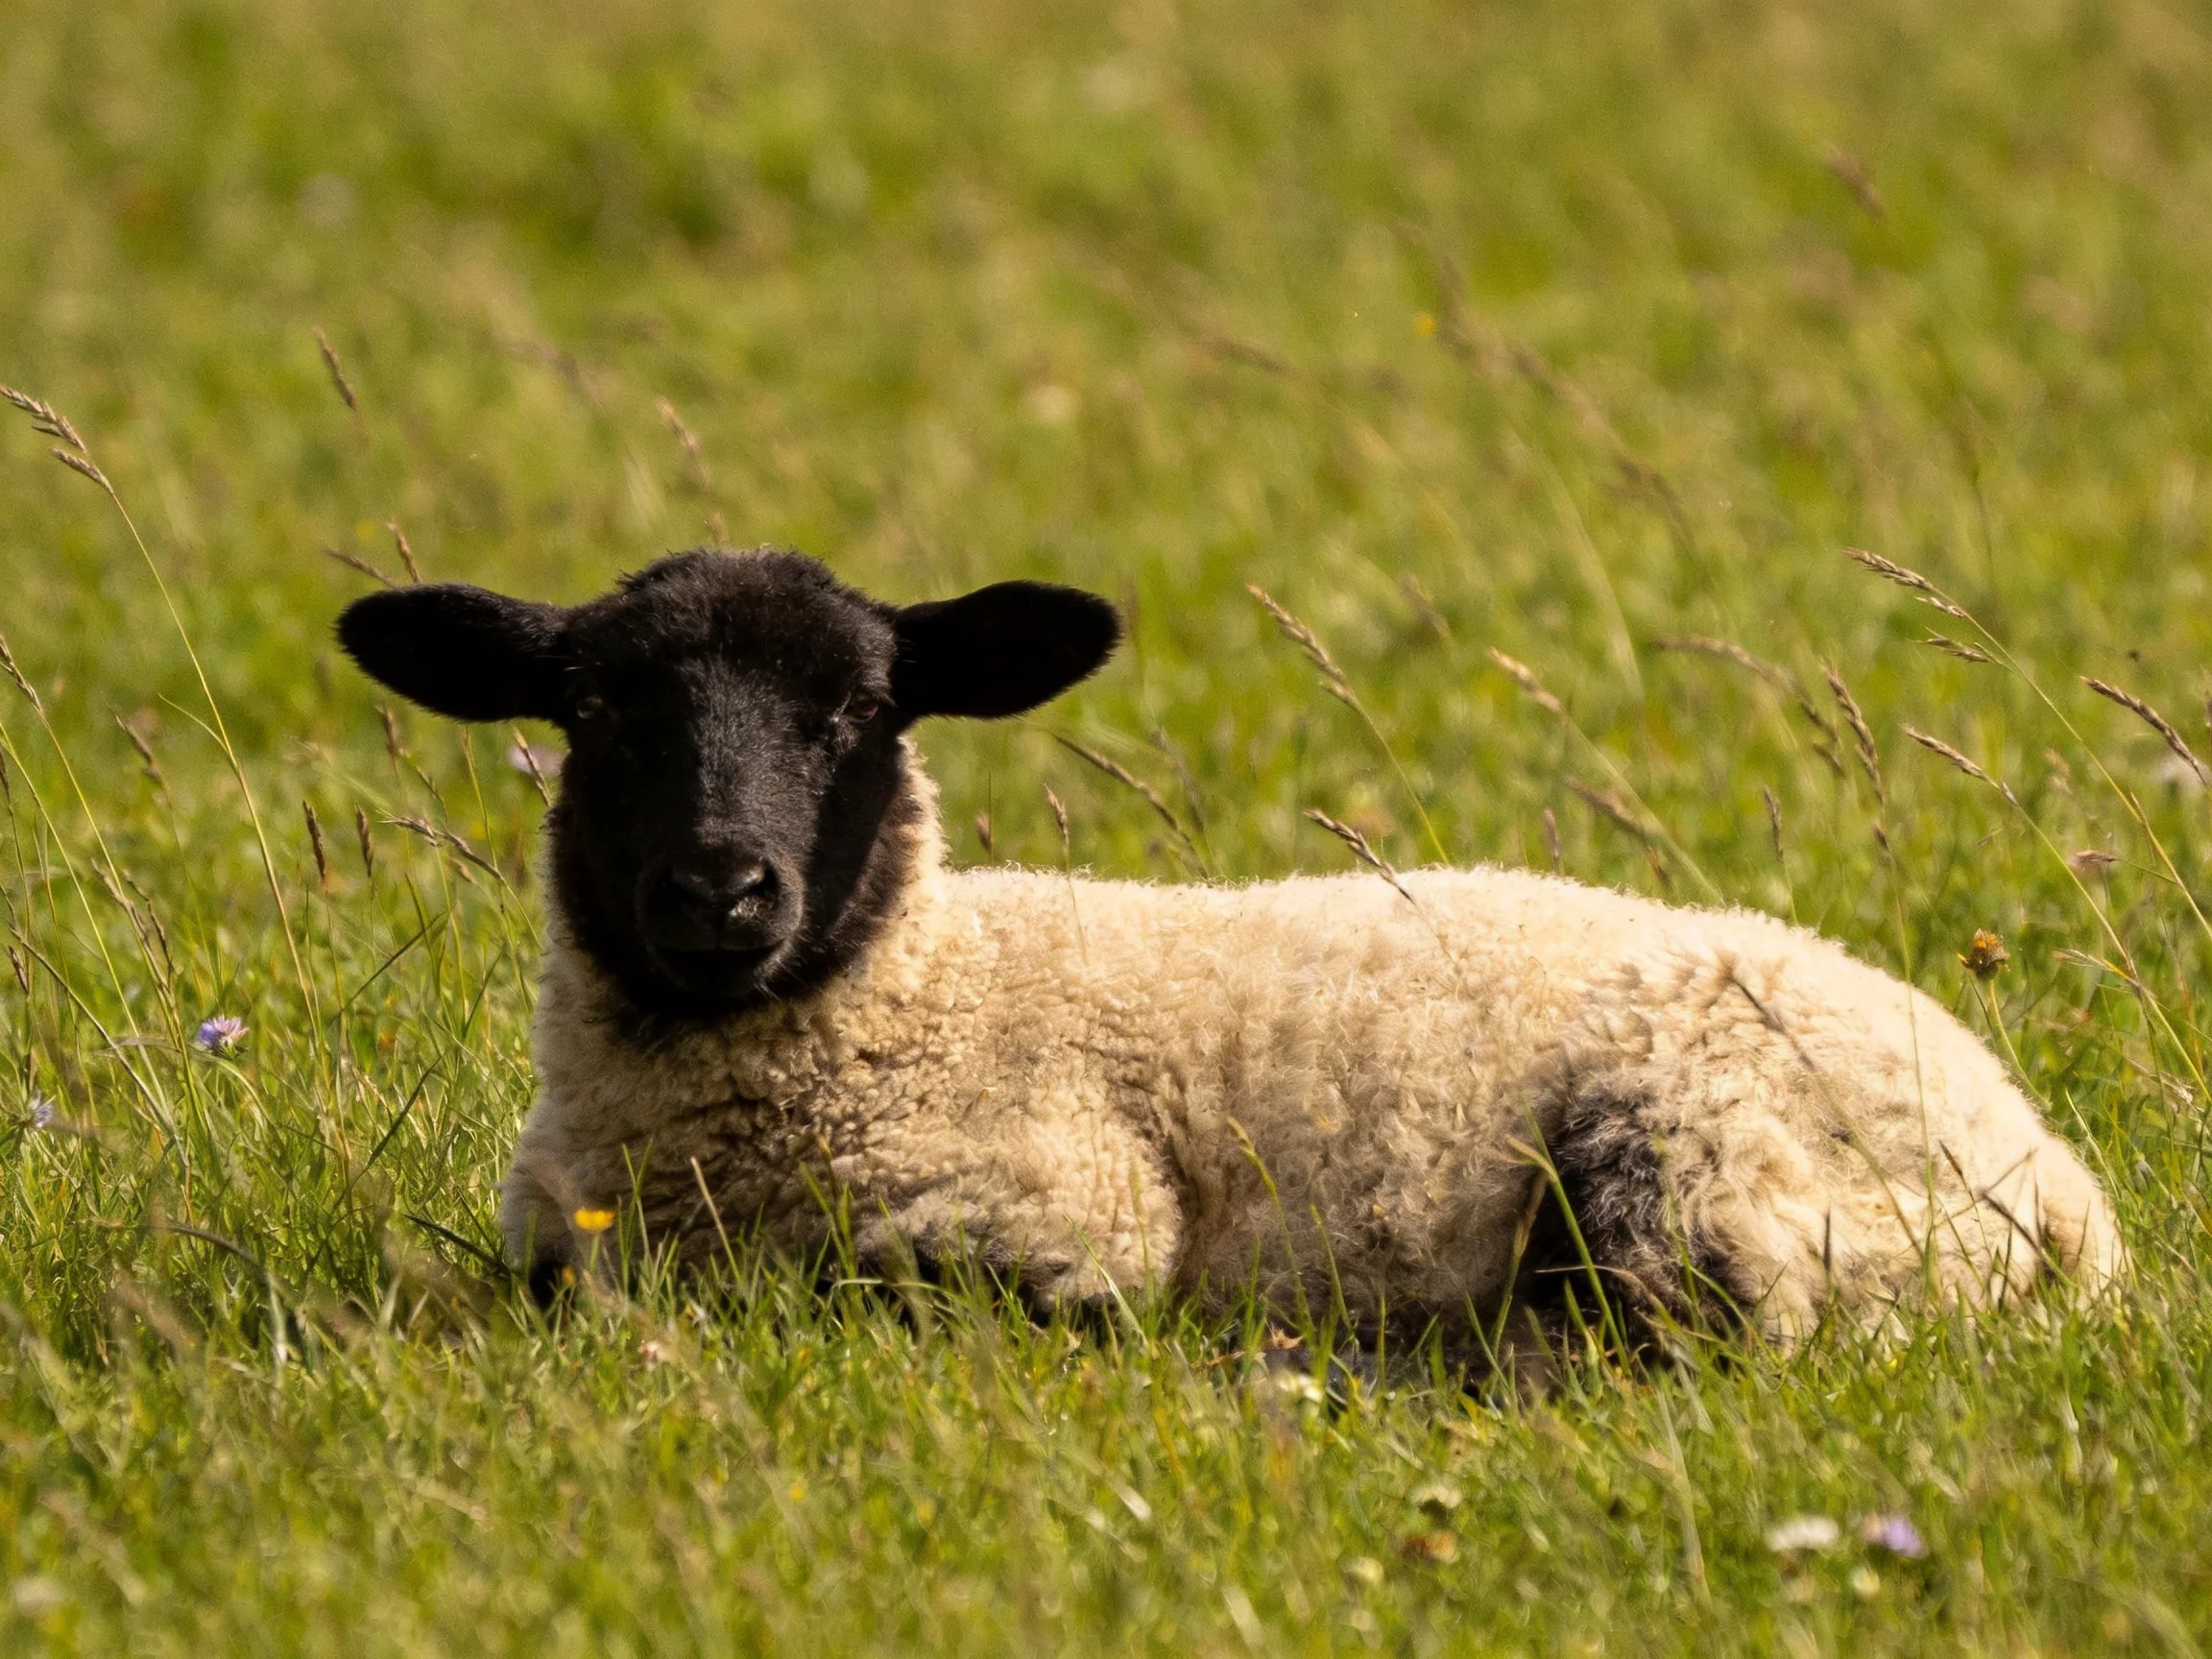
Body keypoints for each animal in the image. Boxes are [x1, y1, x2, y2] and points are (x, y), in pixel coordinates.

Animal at [338, 547, 2123, 1357]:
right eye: (596, 713)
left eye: (855, 713)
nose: (721, 888)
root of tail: (2058, 1187)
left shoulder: (1059, 1216)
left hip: (1702, 1155)